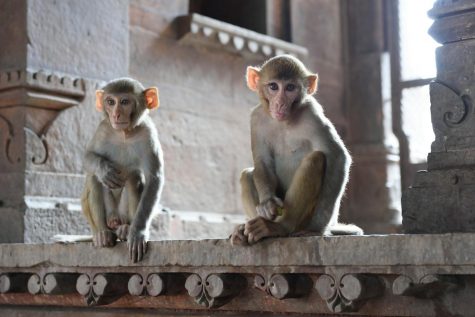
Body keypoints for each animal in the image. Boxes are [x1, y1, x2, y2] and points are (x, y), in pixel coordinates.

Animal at [81, 77, 165, 262]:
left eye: (125, 102)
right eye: (111, 102)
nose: (116, 114)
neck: (124, 134)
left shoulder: (148, 133)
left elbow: (153, 178)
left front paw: (138, 233)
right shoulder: (103, 128)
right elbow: (88, 156)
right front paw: (104, 169)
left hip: (123, 213)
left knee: (135, 178)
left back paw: (126, 230)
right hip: (108, 213)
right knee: (93, 177)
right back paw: (103, 233)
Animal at [231, 55, 360, 246]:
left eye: (290, 88)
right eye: (273, 86)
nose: (280, 104)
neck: (284, 121)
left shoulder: (312, 114)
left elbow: (337, 156)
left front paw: (317, 229)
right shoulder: (257, 118)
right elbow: (263, 161)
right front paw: (267, 203)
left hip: (304, 217)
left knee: (315, 160)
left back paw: (279, 227)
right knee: (247, 174)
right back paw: (249, 228)